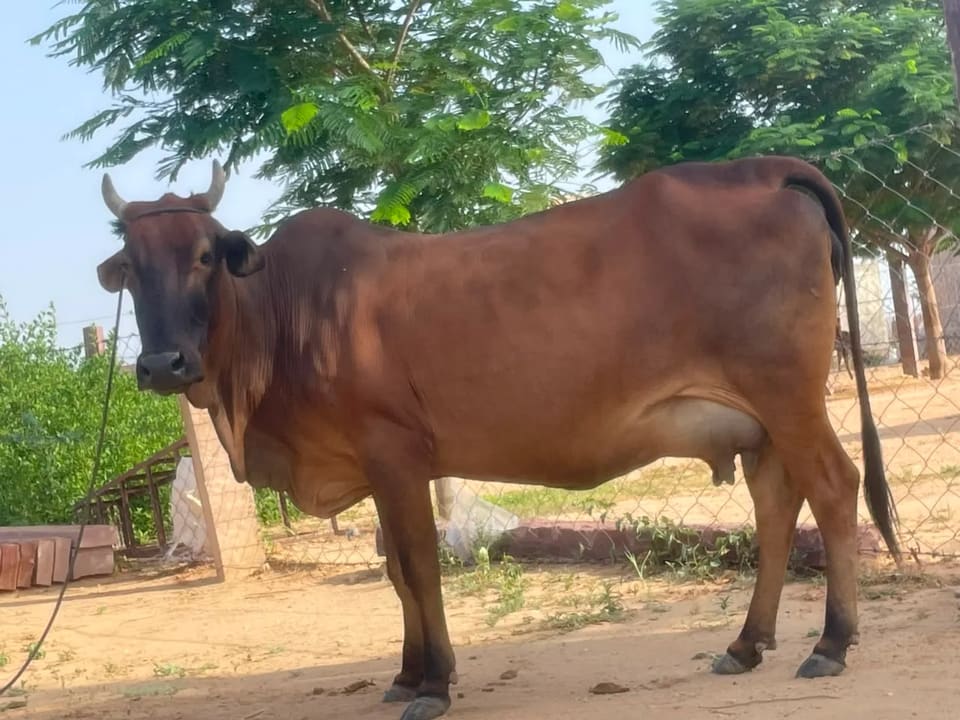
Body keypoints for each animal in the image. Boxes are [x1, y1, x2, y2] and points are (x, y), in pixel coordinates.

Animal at [95, 156, 900, 720]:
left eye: (204, 255)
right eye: (131, 267)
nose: (163, 364)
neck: (285, 313)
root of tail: (766, 167)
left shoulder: (395, 455)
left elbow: (420, 569)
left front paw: (434, 683)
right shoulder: (375, 467)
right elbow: (396, 573)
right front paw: (405, 674)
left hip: (787, 398)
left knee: (834, 490)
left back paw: (831, 643)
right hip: (759, 424)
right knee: (776, 509)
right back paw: (746, 643)